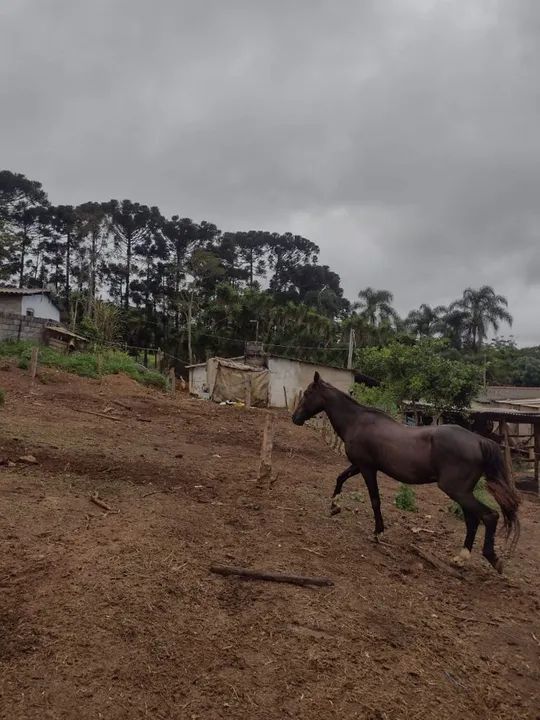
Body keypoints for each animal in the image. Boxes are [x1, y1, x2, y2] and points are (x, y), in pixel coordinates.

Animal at [292, 372, 520, 573]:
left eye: (308, 393)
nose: (295, 418)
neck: (357, 422)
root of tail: (479, 441)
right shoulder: (359, 466)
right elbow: (340, 478)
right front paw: (335, 507)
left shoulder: (367, 468)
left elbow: (375, 500)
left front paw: (378, 532)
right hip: (462, 492)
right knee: (473, 520)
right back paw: (461, 558)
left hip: (457, 491)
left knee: (489, 516)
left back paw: (493, 559)